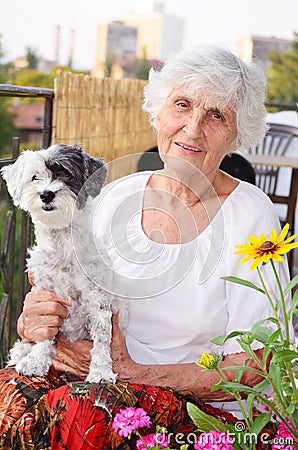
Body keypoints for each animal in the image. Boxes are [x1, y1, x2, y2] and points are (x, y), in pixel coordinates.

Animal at [0, 144, 123, 384]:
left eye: (66, 174)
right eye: (35, 177)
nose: (46, 194)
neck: (63, 249)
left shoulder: (97, 299)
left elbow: (102, 338)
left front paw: (101, 371)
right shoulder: (47, 297)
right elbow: (44, 334)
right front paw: (36, 360)